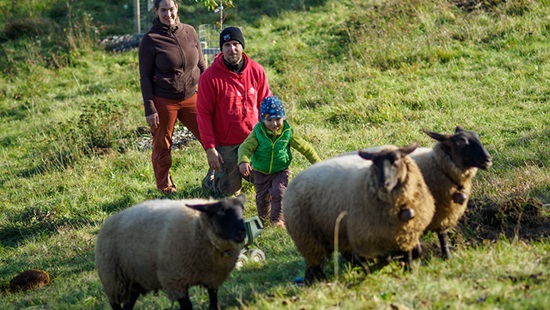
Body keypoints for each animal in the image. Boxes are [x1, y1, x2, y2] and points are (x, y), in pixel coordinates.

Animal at [96, 195, 247, 308]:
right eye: (221, 211)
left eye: (242, 209)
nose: (242, 231)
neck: (199, 229)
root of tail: (109, 220)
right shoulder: (174, 281)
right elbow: (187, 306)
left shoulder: (213, 279)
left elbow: (213, 303)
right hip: (113, 280)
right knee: (115, 304)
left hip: (133, 280)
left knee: (128, 304)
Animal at [284, 144, 436, 284]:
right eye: (375, 164)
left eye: (396, 161)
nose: (384, 184)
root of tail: (291, 186)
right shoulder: (371, 236)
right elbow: (388, 256)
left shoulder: (406, 230)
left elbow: (411, 253)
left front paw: (408, 268)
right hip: (308, 239)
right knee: (315, 266)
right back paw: (319, 282)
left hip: (335, 234)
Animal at [412, 126, 494, 260]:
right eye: (462, 141)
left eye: (476, 136)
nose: (488, 160)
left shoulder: (443, 213)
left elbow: (443, 237)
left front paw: (447, 257)